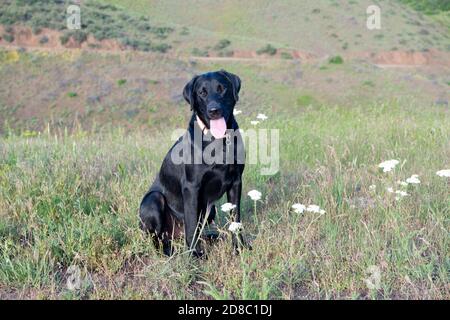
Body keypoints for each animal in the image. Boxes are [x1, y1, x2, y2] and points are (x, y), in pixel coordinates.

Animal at [139, 70, 248, 258]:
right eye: (202, 93)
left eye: (222, 89)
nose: (214, 110)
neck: (216, 140)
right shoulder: (191, 187)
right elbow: (191, 224)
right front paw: (194, 254)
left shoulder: (236, 182)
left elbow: (236, 219)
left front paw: (239, 247)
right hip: (153, 200)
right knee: (157, 239)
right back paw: (169, 251)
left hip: (210, 210)